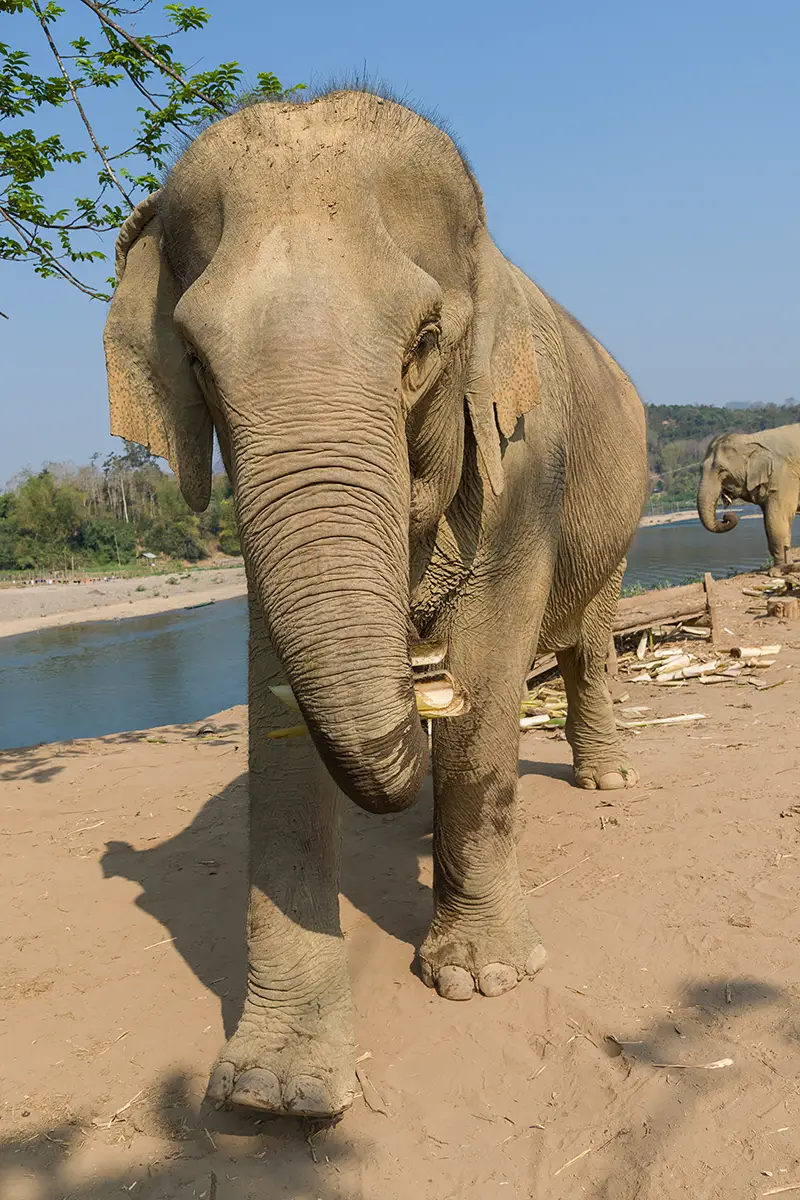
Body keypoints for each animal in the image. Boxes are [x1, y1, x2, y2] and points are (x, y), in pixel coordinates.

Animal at [102, 89, 649, 1119]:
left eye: (426, 341)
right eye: (192, 357)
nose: (415, 677)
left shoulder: (527, 461)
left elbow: (490, 668)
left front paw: (482, 979)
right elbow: (274, 706)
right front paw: (274, 1091)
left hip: (616, 521)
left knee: (587, 642)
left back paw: (608, 781)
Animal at [697, 425, 800, 566]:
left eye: (722, 470)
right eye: (700, 468)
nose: (725, 517)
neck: (751, 439)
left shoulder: (785, 476)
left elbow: (778, 516)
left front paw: (781, 567)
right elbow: (767, 518)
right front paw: (785, 564)